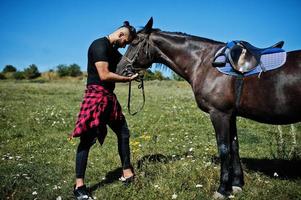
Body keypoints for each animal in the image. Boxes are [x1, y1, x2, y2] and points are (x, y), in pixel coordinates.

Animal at [115, 17, 300, 198]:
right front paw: (237, 184)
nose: (119, 69)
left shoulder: (219, 114)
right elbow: (234, 147)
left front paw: (223, 189)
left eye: (134, 43)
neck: (204, 63)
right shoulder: (231, 115)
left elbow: (224, 149)